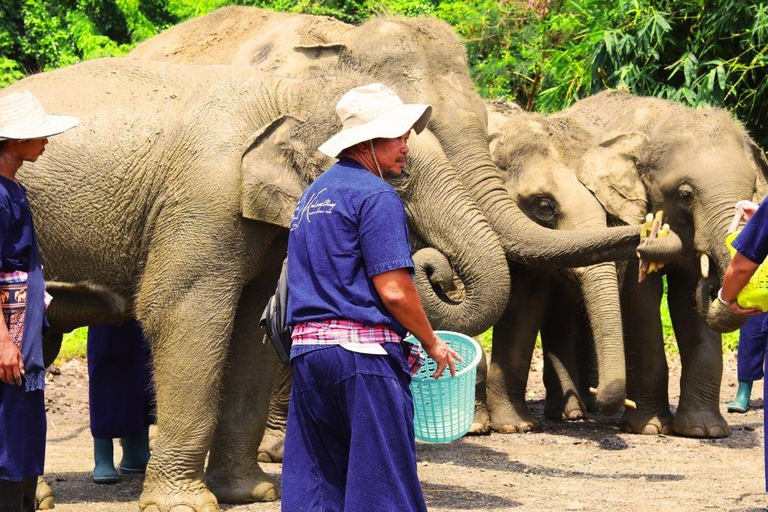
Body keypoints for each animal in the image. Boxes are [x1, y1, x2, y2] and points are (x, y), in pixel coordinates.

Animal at [6, 58, 512, 510]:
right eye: (402, 174)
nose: (432, 266)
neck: (287, 94)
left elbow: (253, 328)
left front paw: (252, 494)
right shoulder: (204, 201)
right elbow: (179, 314)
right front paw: (185, 505)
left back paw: (38, 497)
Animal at [474, 100, 632, 432]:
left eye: (606, 209)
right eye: (545, 206)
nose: (598, 392)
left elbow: (526, 304)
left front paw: (515, 427)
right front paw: (480, 426)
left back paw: (569, 414)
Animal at [552, 90, 768, 438]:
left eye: (751, 190)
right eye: (686, 194)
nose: (712, 286)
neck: (660, 123)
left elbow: (686, 304)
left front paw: (704, 431)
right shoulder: (626, 216)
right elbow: (639, 300)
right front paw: (650, 428)